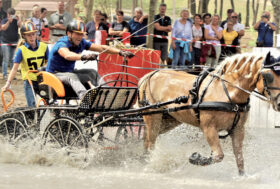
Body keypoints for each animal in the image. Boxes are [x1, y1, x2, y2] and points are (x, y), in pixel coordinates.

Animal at [137, 51, 280, 175]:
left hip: (169, 120)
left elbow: (239, 158)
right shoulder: (208, 128)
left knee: (147, 140)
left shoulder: (238, 129)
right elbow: (218, 156)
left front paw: (242, 177)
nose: (279, 103)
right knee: (149, 144)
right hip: (153, 117)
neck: (227, 91)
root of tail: (148, 76)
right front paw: (195, 158)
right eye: (269, 76)